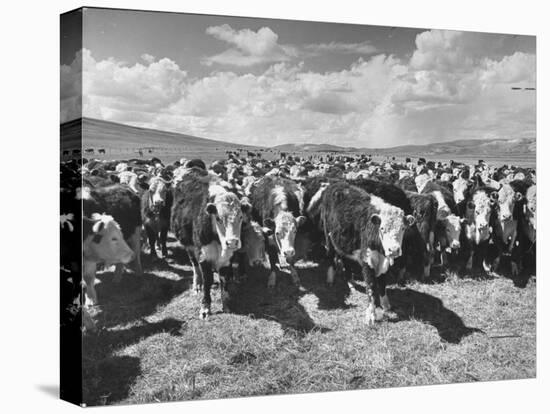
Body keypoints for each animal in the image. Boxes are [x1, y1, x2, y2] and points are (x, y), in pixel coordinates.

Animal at [172, 167, 250, 318]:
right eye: (218, 218)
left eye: (240, 217)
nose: (232, 242)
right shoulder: (204, 255)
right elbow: (207, 280)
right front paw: (205, 307)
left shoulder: (227, 258)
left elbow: (224, 279)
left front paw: (226, 304)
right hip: (189, 246)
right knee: (195, 265)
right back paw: (197, 284)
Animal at [322, 183, 412, 326]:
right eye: (382, 228)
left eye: (403, 228)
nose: (393, 250)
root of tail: (336, 184)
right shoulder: (367, 259)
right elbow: (371, 286)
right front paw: (370, 316)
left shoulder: (383, 261)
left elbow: (382, 283)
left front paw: (386, 305)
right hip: (328, 235)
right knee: (330, 255)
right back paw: (330, 278)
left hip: (346, 243)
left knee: (346, 260)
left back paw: (351, 282)